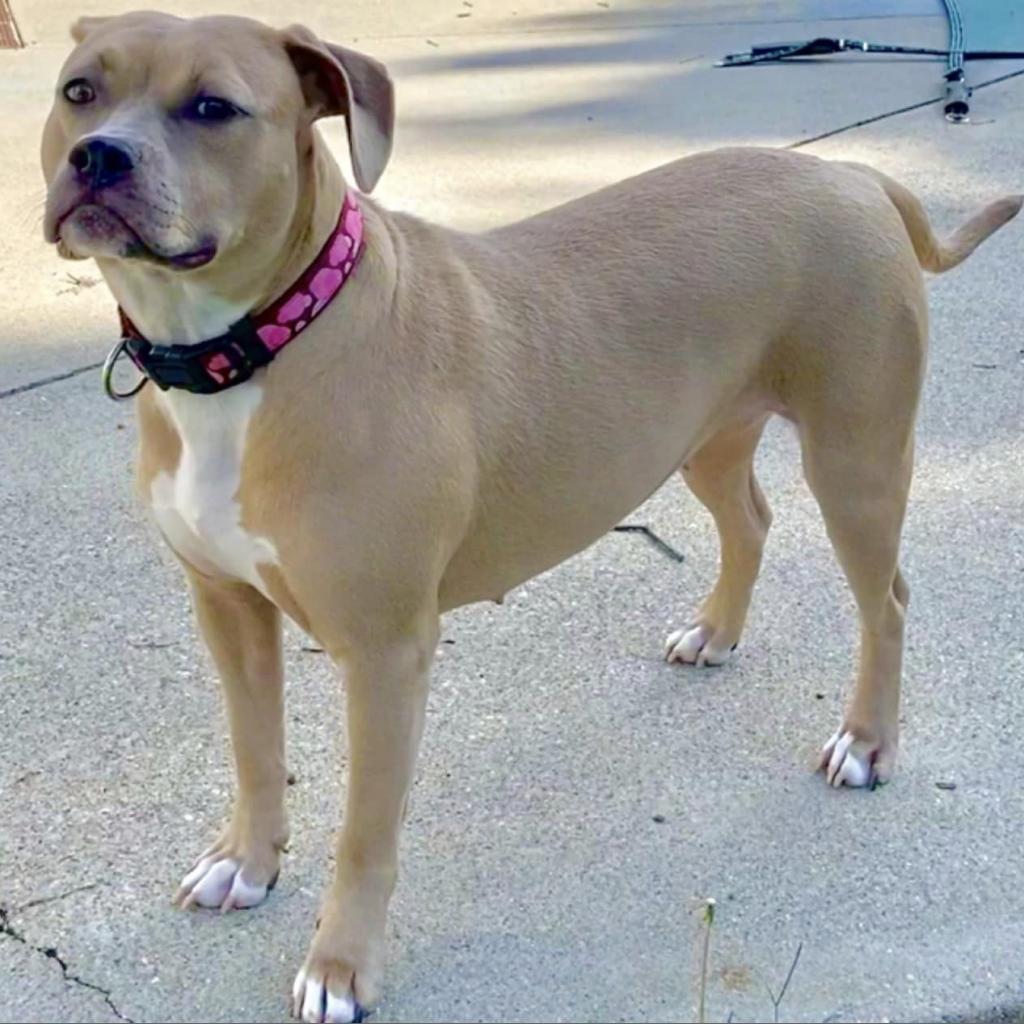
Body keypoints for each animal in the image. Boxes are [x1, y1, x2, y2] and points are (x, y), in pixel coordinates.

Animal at [41, 9, 1024, 1024]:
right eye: (79, 90)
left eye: (214, 108)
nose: (98, 156)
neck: (256, 344)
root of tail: (856, 177)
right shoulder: (227, 608)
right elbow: (253, 749)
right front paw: (247, 861)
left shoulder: (385, 652)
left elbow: (364, 831)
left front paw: (342, 965)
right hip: (703, 435)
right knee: (750, 519)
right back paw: (715, 632)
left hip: (857, 459)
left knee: (886, 601)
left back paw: (866, 742)